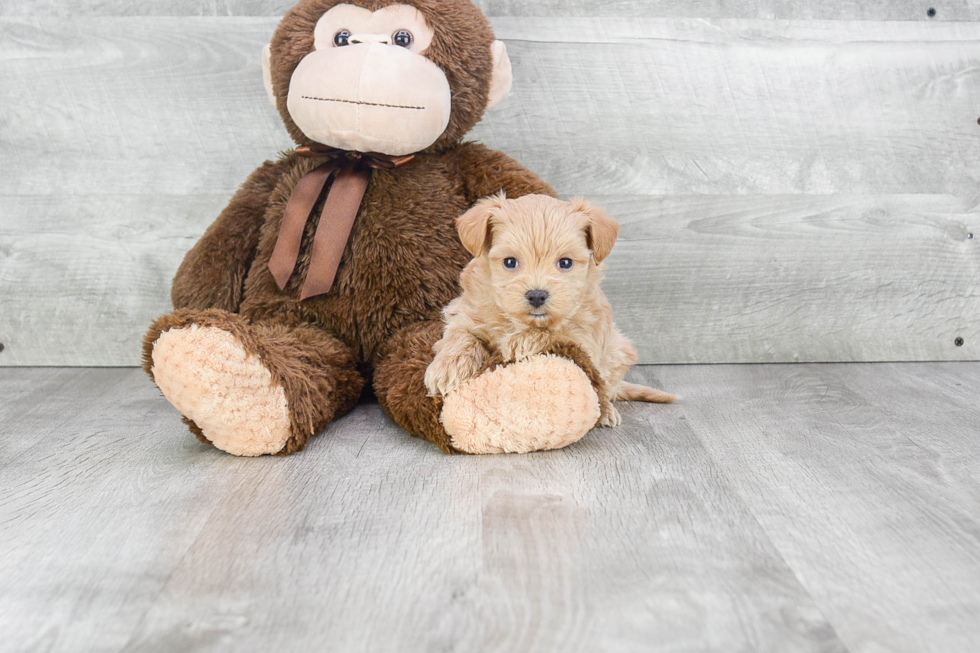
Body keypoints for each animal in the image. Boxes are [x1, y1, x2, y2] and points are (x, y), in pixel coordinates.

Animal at [424, 192, 676, 428]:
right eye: (509, 262)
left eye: (565, 263)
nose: (537, 295)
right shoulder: (464, 313)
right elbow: (460, 336)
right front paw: (446, 369)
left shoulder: (586, 337)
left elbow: (556, 336)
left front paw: (521, 341)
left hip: (618, 351)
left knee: (604, 386)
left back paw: (606, 411)